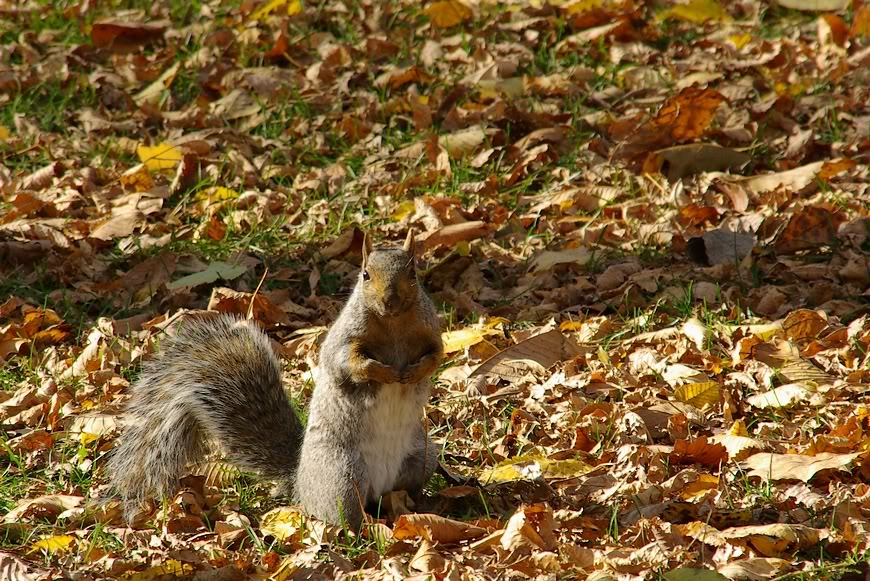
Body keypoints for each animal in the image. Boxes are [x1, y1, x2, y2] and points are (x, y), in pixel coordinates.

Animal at [109, 229, 446, 528]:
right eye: (365, 275)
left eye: (413, 272)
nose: (390, 300)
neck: (394, 324)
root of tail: (299, 482)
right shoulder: (344, 339)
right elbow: (346, 363)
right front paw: (383, 372)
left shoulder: (431, 331)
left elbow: (437, 355)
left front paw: (415, 372)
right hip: (341, 477)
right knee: (343, 516)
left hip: (423, 456)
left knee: (409, 486)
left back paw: (420, 506)